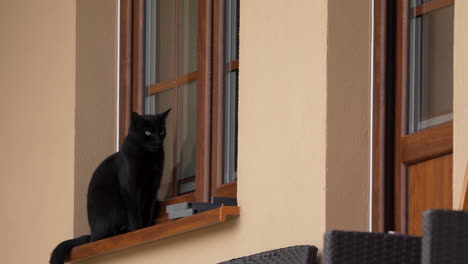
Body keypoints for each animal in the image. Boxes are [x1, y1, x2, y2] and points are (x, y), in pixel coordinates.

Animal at [49, 110, 170, 264]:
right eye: (148, 132)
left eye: (161, 131)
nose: (158, 141)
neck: (149, 159)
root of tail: (91, 234)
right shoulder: (130, 189)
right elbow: (134, 214)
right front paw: (138, 232)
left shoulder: (152, 190)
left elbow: (149, 212)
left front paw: (147, 230)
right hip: (114, 204)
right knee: (104, 235)